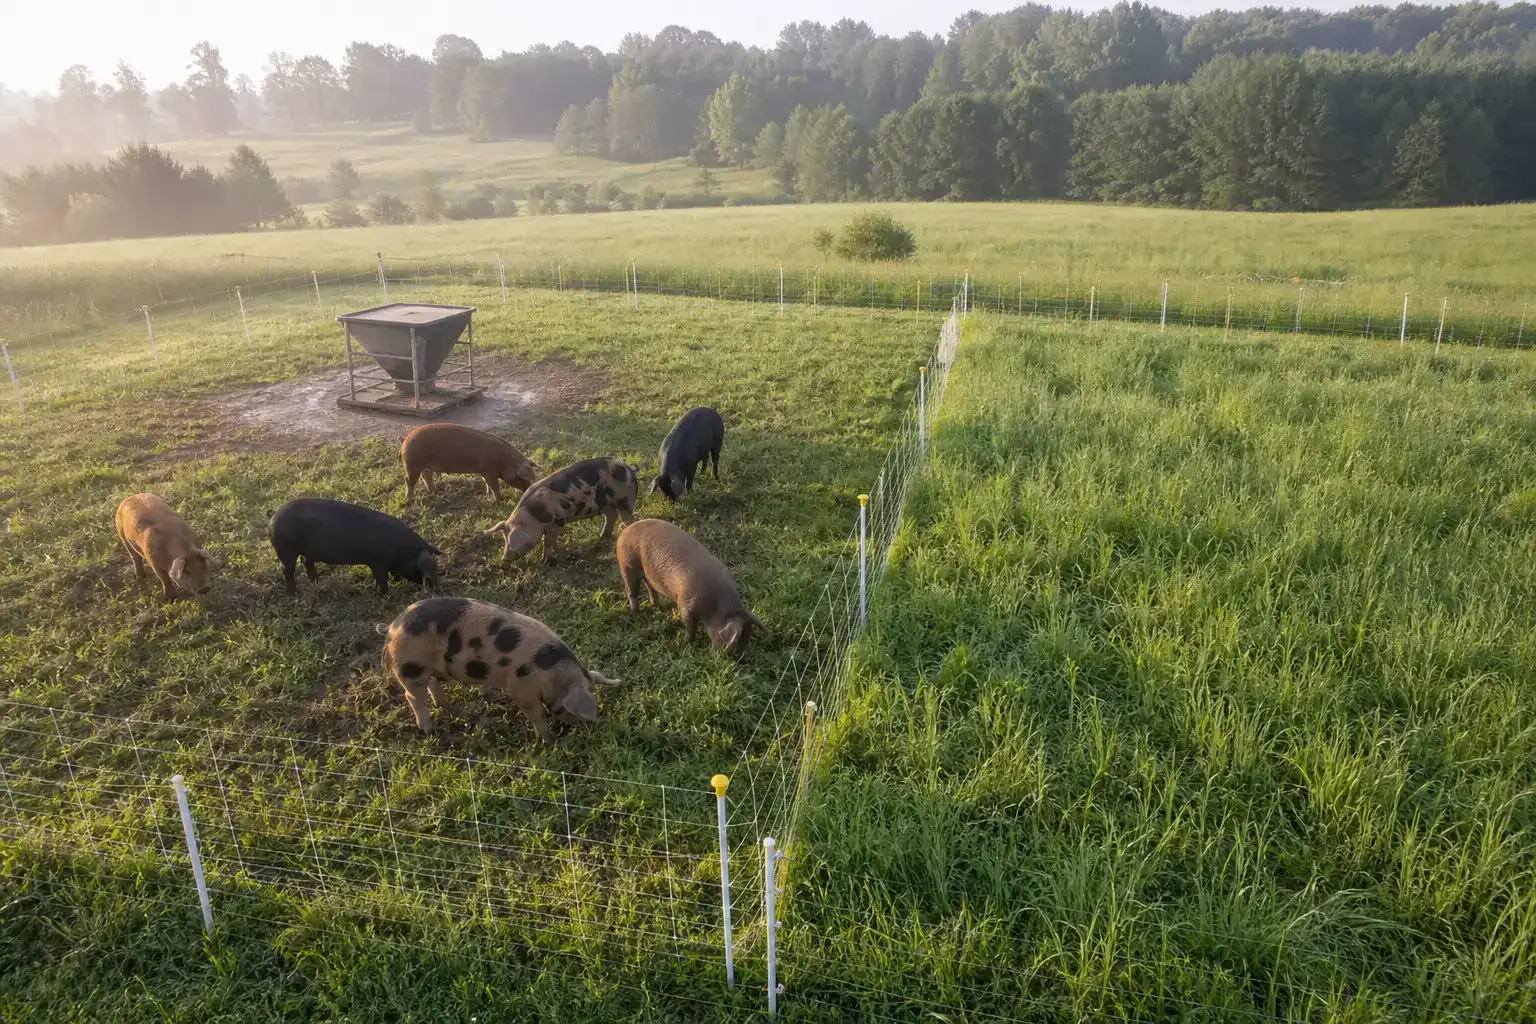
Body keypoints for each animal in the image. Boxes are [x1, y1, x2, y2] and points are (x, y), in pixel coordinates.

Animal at [268, 498, 440, 596]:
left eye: (436, 567)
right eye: (423, 571)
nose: (436, 586)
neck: (403, 551)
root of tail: (273, 517)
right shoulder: (377, 563)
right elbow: (382, 579)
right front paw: (383, 594)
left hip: (309, 552)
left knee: (306, 562)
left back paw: (317, 581)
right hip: (286, 551)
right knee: (287, 570)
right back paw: (294, 594)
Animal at [378, 597, 621, 740]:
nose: (590, 728)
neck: (552, 672)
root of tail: (392, 627)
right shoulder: (521, 688)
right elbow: (537, 714)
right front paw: (547, 741)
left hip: (426, 668)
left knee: (433, 683)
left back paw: (448, 710)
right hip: (410, 668)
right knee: (413, 697)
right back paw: (430, 729)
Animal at [400, 422, 539, 503]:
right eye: (522, 477)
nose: (529, 490)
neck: (505, 462)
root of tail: (406, 438)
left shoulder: (484, 472)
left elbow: (488, 484)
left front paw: (488, 495)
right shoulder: (488, 471)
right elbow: (494, 486)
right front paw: (499, 500)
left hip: (425, 466)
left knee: (426, 476)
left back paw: (435, 491)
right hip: (412, 465)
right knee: (408, 480)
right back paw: (409, 499)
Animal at [485, 458, 639, 564]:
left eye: (513, 539)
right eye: (504, 538)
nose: (504, 559)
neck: (534, 515)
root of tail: (630, 469)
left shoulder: (558, 521)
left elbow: (548, 542)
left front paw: (546, 561)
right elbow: (553, 541)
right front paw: (558, 551)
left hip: (625, 499)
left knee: (630, 518)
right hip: (607, 504)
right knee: (611, 516)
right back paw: (602, 538)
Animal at [616, 518, 763, 656]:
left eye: (747, 636)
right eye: (736, 640)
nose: (738, 657)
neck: (716, 607)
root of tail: (626, 528)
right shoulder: (685, 605)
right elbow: (690, 627)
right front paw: (684, 644)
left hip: (647, 573)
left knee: (650, 587)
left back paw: (659, 607)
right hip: (627, 565)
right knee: (631, 592)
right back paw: (636, 616)